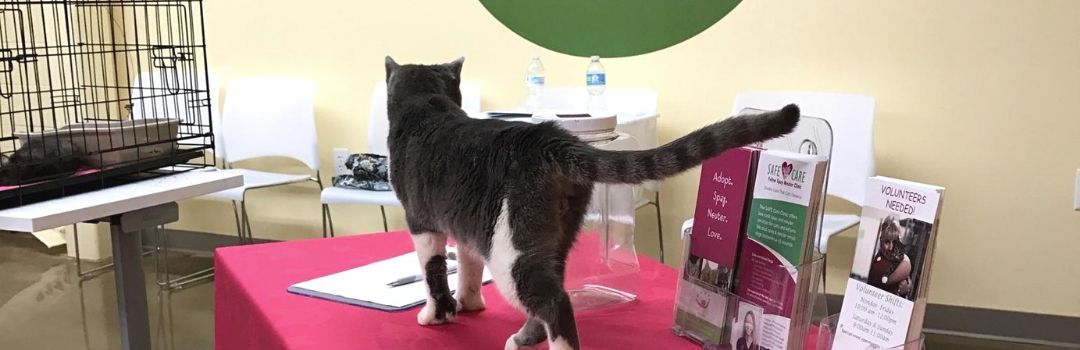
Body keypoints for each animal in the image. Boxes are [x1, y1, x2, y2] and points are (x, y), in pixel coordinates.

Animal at [384, 56, 799, 347]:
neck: (428, 106)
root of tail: (549, 137)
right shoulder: (465, 224)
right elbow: (468, 265)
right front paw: (470, 303)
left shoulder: (422, 223)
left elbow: (433, 272)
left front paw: (438, 314)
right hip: (554, 235)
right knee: (551, 290)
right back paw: (524, 338)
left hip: (509, 248)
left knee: (554, 301)